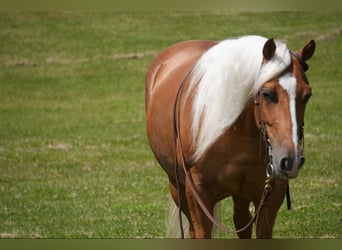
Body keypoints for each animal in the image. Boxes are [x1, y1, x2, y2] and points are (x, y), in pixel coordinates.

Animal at [144, 35, 316, 238]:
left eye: (307, 95)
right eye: (267, 94)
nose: (290, 160)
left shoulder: (272, 194)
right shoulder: (198, 195)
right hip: (177, 187)